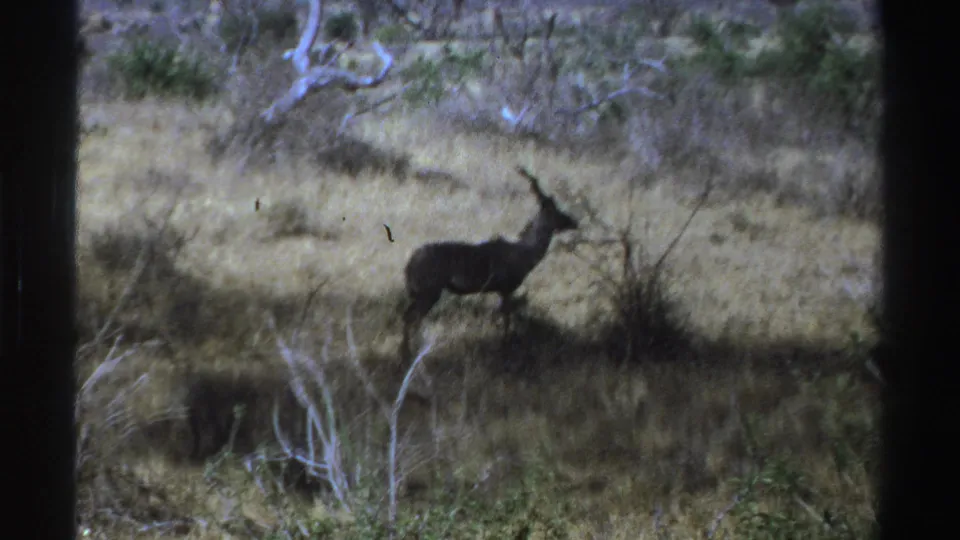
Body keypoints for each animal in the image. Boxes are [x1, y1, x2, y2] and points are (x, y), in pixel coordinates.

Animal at [400, 166, 579, 362]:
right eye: (556, 211)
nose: (574, 221)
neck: (524, 252)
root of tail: (410, 264)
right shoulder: (506, 289)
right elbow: (506, 317)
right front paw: (504, 346)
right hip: (429, 292)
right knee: (412, 318)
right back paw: (412, 353)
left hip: (420, 293)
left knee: (407, 315)